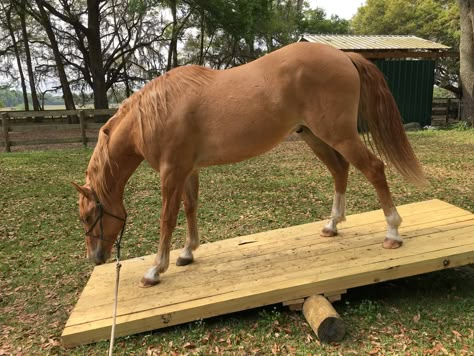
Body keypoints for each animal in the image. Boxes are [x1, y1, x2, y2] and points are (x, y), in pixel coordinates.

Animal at [72, 42, 428, 286]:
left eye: (89, 215)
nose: (95, 258)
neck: (152, 114)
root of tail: (343, 56)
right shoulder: (188, 170)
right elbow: (190, 208)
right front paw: (187, 253)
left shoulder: (171, 171)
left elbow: (167, 219)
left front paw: (156, 269)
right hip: (315, 136)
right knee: (340, 170)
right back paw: (332, 225)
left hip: (338, 135)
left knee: (374, 169)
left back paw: (393, 232)